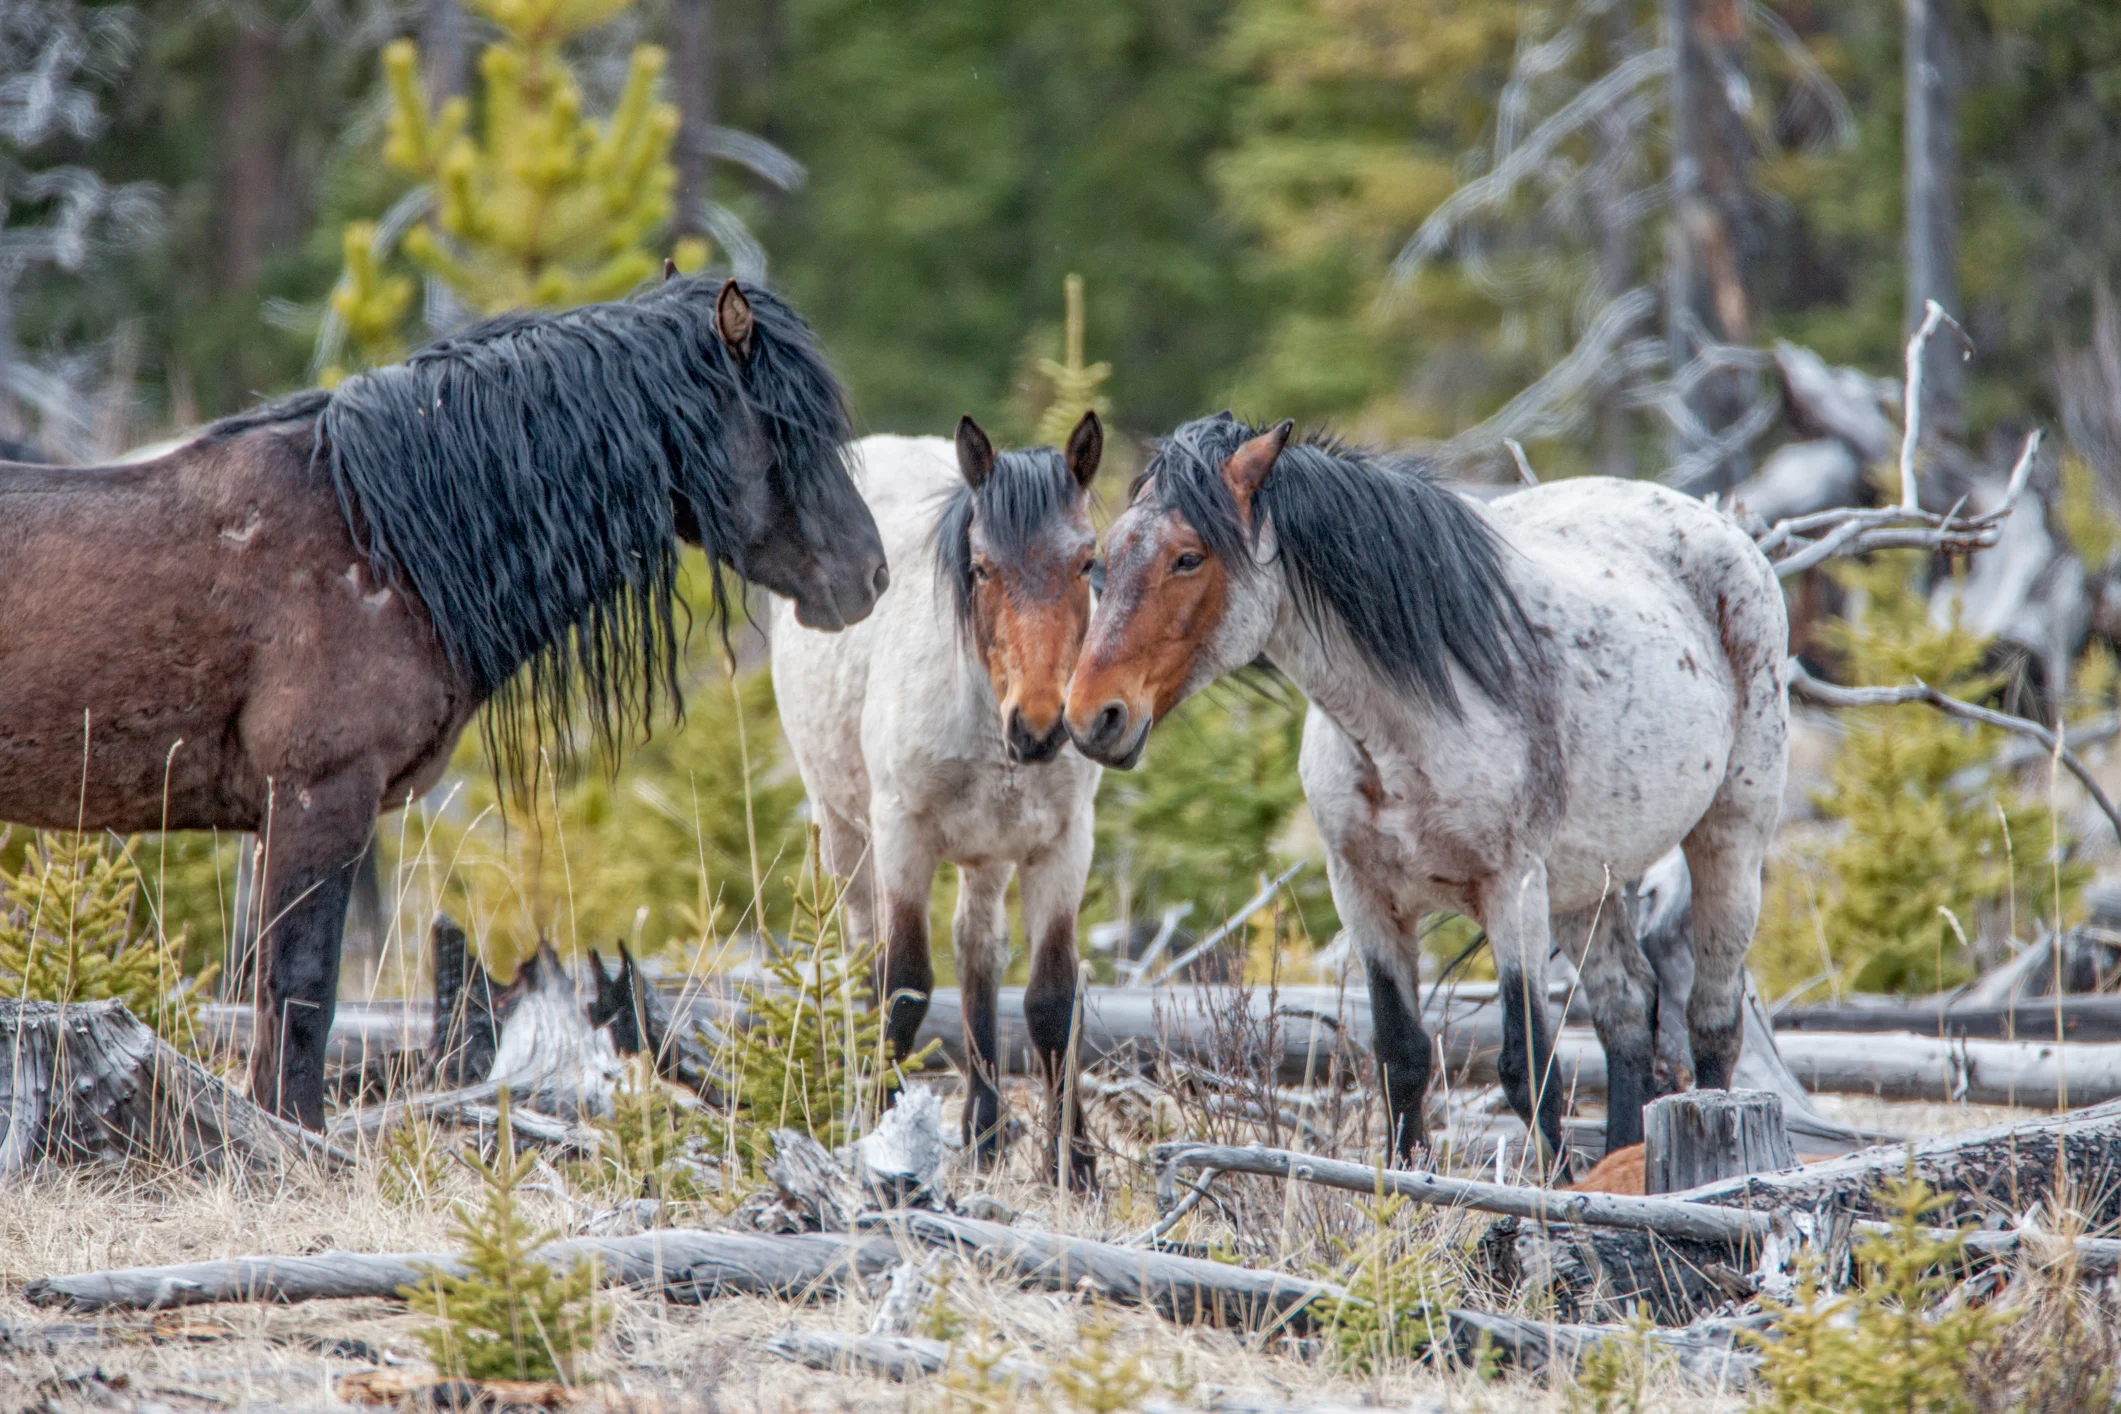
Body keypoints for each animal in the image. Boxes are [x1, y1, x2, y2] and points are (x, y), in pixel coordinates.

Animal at [0, 276, 888, 1129]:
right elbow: (301, 993)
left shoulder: (274, 818)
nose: (869, 574)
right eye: (786, 427)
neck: (380, 542)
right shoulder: (322, 796)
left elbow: (269, 991)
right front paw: (295, 1141)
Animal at [772, 412, 1105, 1186]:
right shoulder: (904, 835)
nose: (1040, 724)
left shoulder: (1063, 843)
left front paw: (1073, 1167)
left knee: (977, 948)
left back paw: (984, 1132)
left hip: (989, 852)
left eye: (1086, 563)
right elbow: (904, 987)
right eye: (981, 567)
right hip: (842, 830)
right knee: (863, 958)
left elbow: (1052, 1000)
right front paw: (881, 1137)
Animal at [1065, 414, 1788, 1167]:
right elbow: (1402, 1057)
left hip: (1729, 840)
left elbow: (1527, 1065)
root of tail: (1720, 527)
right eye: (1102, 559)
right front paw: (1405, 1181)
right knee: (1626, 1010)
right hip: (1586, 884)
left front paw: (1542, 1189)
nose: (1092, 717)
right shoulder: (1363, 894)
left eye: (1188, 558)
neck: (1399, 728)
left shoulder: (1512, 889)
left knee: (1711, 1018)